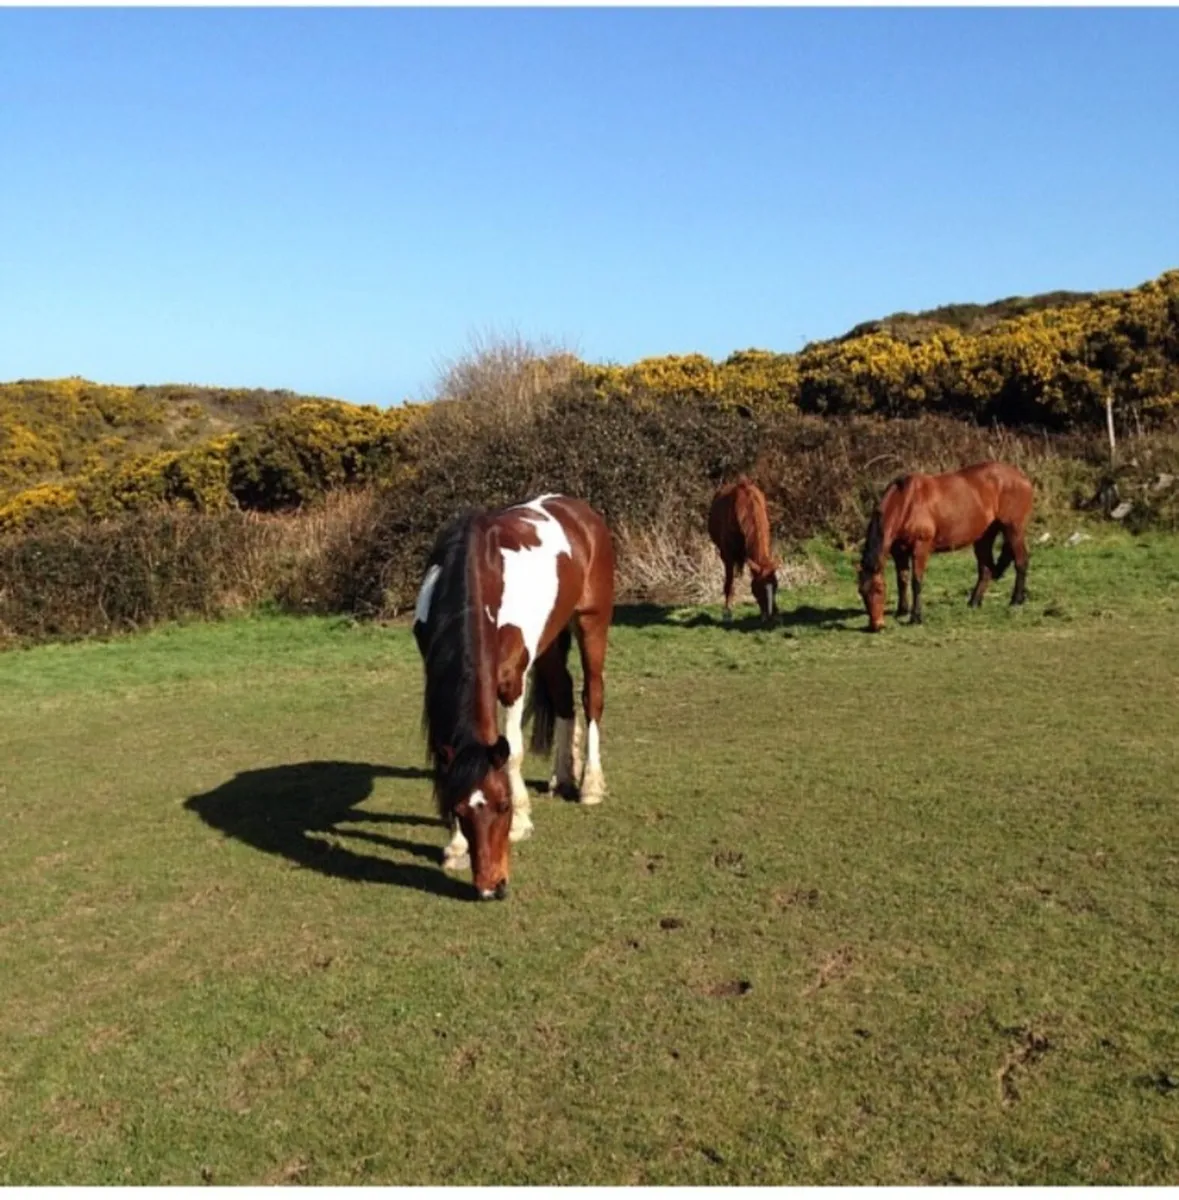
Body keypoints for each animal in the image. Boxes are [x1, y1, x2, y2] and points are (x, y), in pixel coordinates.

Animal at [413, 493, 615, 900]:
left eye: (503, 806)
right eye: (460, 811)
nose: (492, 887)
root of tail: (579, 511)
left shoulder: (511, 680)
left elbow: (514, 753)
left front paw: (523, 820)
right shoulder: (434, 675)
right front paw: (456, 846)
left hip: (592, 621)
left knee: (592, 698)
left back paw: (589, 785)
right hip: (551, 639)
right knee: (564, 695)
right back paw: (562, 777)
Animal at [707, 476, 779, 624]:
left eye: (776, 586)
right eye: (759, 589)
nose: (770, 616)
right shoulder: (727, 556)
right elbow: (729, 583)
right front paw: (727, 613)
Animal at [857, 461, 1034, 632]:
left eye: (879, 589)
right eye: (861, 592)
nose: (876, 626)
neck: (906, 502)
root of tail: (1022, 478)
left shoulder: (920, 548)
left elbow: (916, 581)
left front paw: (916, 617)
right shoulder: (899, 552)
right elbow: (902, 580)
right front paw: (902, 611)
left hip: (1013, 530)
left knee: (1021, 562)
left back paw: (1016, 600)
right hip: (984, 537)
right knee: (986, 569)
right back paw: (974, 602)